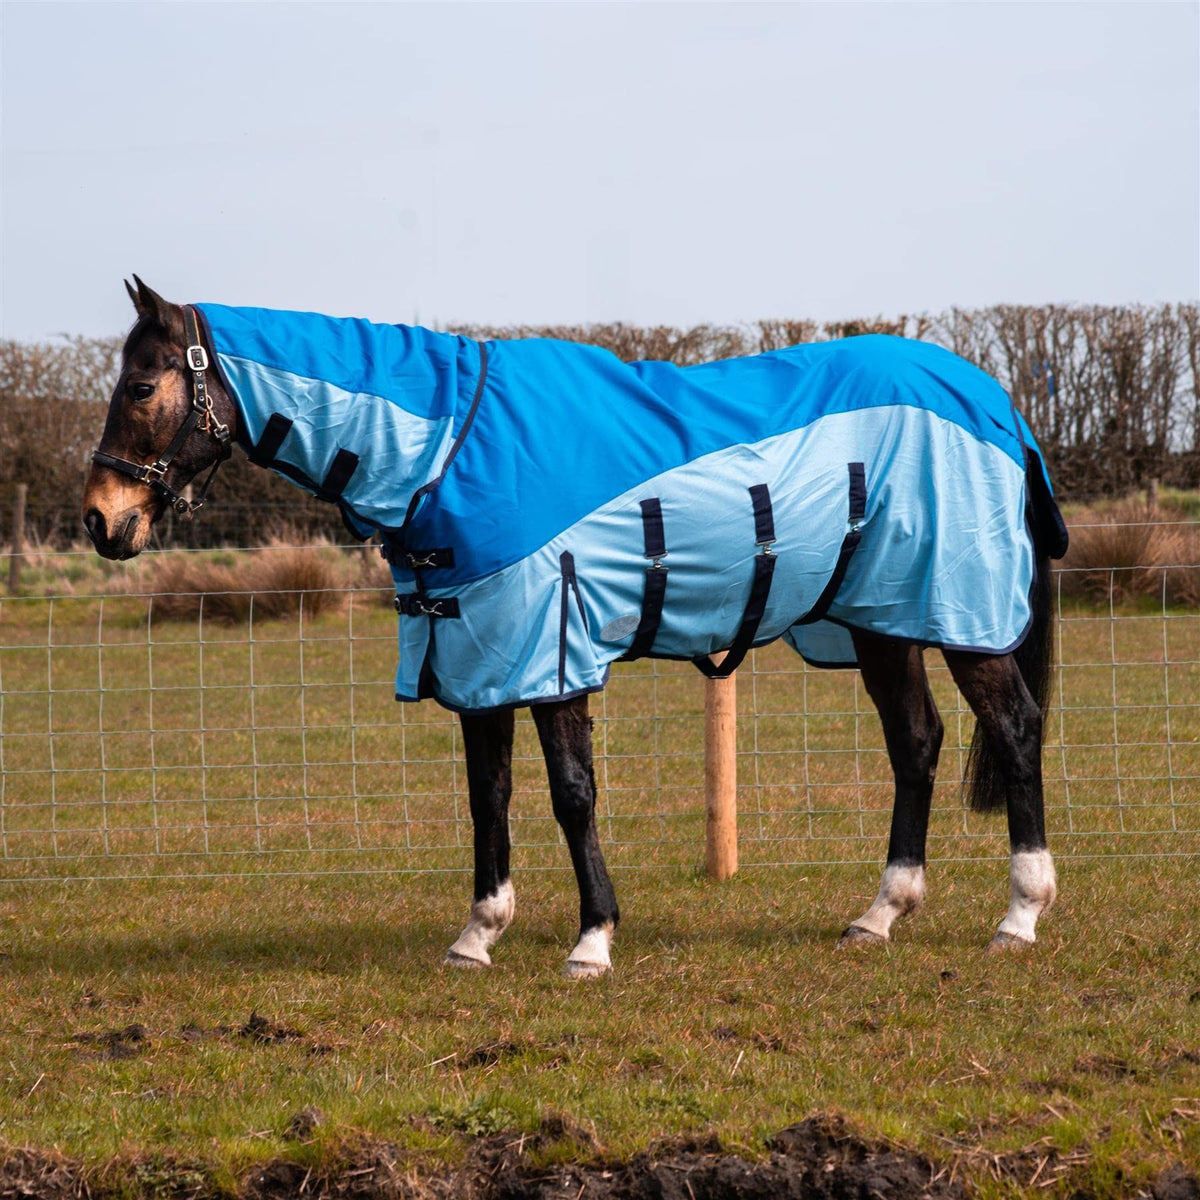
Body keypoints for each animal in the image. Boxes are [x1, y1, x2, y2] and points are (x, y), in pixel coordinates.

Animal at [82, 278, 1069, 975]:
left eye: (141, 384)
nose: (100, 520)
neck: (449, 447)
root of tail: (995, 402)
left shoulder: (549, 646)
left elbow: (571, 795)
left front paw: (592, 940)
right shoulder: (474, 654)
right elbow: (489, 798)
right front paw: (478, 935)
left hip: (957, 615)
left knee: (1014, 728)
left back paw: (1020, 914)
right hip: (881, 620)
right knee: (917, 742)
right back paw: (881, 913)